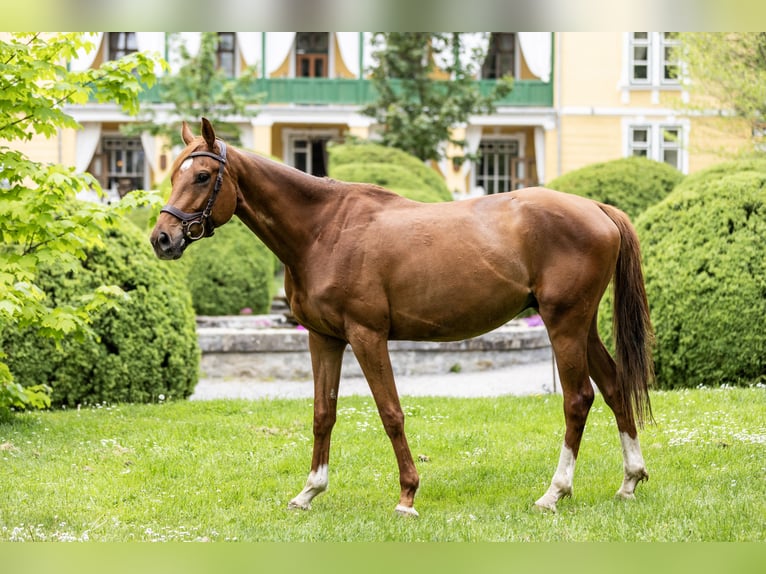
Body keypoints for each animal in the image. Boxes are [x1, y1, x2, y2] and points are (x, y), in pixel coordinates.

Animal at [152, 119, 656, 516]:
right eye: (174, 173)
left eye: (202, 175)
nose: (162, 238)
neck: (324, 230)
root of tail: (596, 208)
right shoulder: (323, 337)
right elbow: (323, 413)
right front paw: (310, 490)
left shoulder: (367, 336)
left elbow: (390, 412)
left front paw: (408, 495)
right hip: (580, 326)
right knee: (614, 387)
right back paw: (630, 479)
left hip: (563, 323)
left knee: (578, 399)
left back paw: (555, 492)